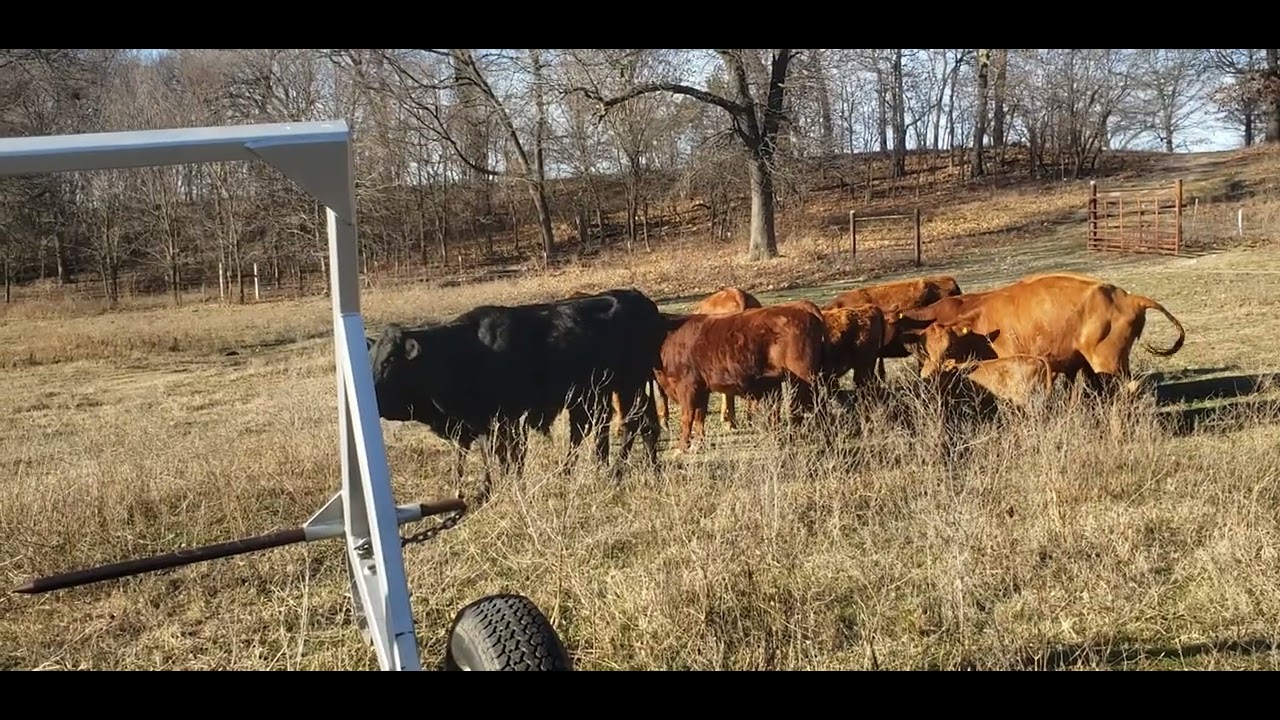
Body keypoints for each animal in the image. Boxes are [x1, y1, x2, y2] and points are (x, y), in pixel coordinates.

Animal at [367, 288, 667, 502]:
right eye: (372, 357)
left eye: (390, 359)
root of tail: (639, 298)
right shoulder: (476, 423)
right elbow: (481, 457)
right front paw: (478, 491)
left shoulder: (505, 419)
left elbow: (505, 457)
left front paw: (501, 489)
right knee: (640, 426)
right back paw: (647, 471)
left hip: (628, 384)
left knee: (634, 424)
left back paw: (617, 473)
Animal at [654, 304, 828, 452]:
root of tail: (803, 310)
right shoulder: (702, 388)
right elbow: (699, 416)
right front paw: (698, 444)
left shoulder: (687, 387)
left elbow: (687, 416)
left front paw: (682, 447)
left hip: (803, 378)